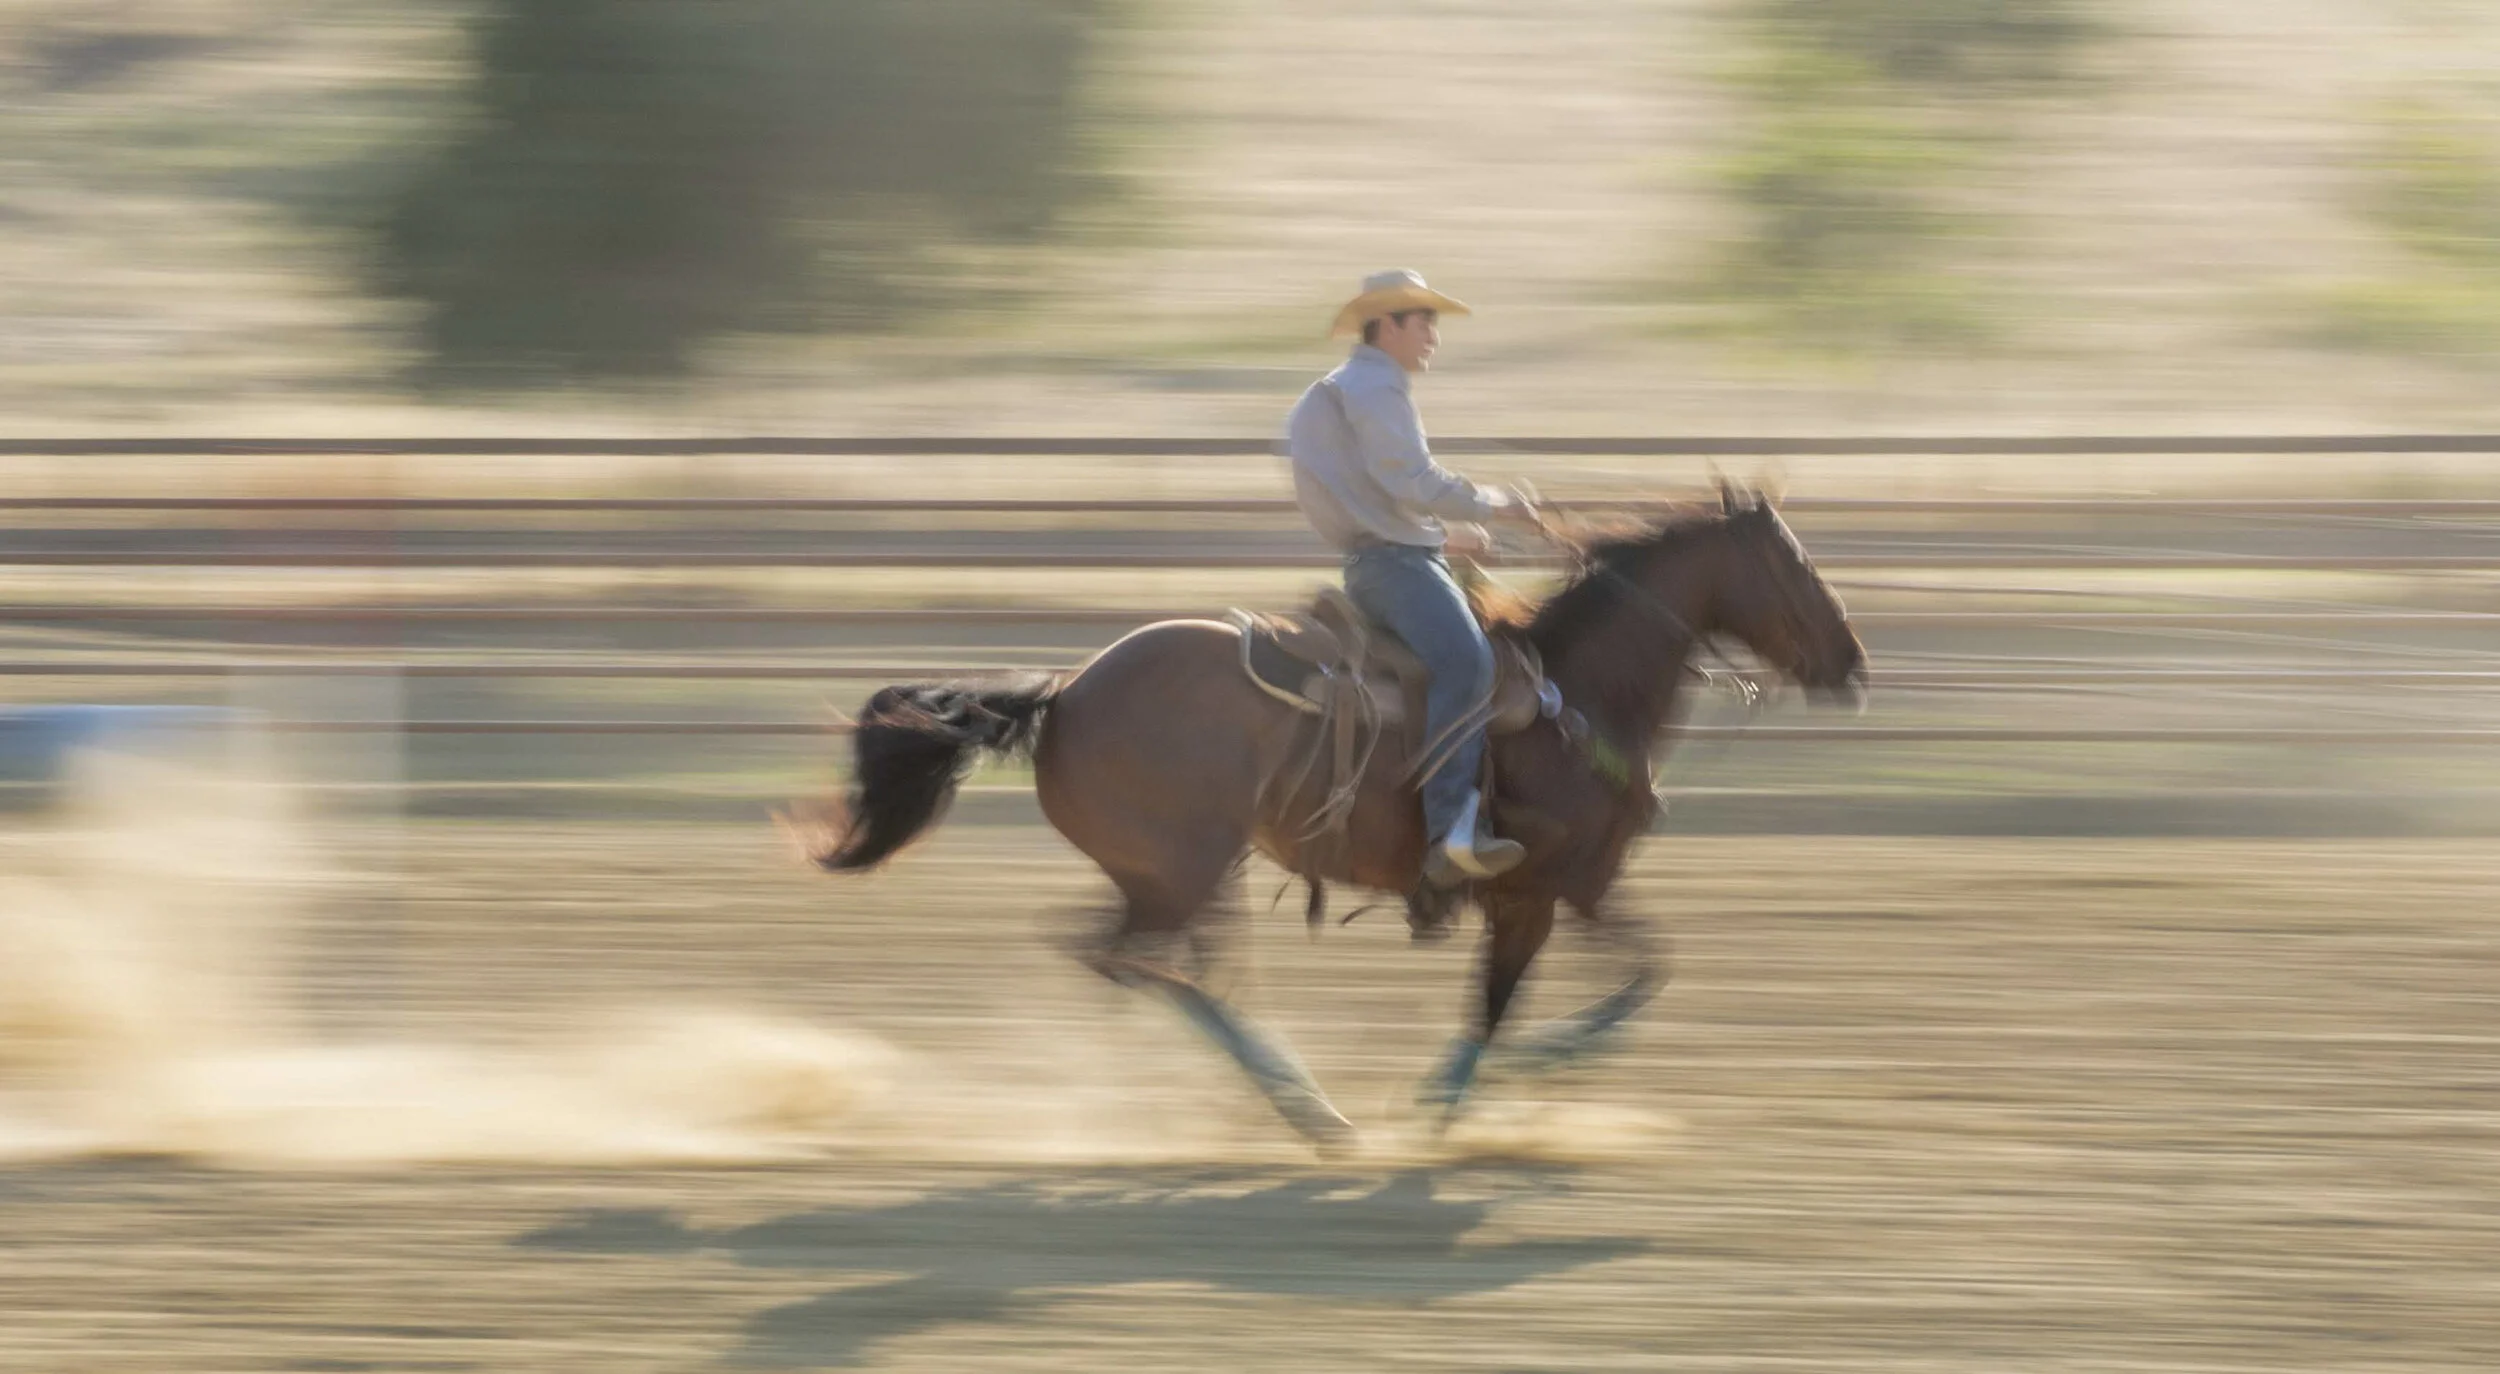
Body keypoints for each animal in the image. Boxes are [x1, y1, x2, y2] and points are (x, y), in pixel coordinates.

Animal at [793, 483, 1867, 1151]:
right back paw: (1307, 1107)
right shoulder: (1545, 888)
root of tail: (1065, 692)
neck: (1580, 692)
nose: (1853, 664)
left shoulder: (1572, 889)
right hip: (1178, 870)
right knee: (1135, 961)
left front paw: (1493, 1084)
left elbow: (1607, 981)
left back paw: (1294, 1101)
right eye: (1798, 568)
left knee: (1172, 967)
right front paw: (1473, 1091)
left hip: (1190, 874)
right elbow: (1552, 996)